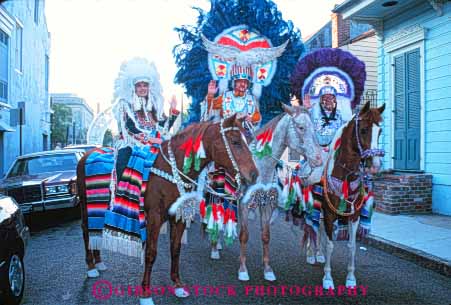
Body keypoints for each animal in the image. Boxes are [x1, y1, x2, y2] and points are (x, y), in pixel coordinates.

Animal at [77, 114, 258, 304]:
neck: (170, 168)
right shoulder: (154, 217)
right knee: (86, 230)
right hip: (86, 205)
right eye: (236, 141)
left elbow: (175, 249)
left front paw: (178, 285)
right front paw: (146, 294)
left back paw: (99, 262)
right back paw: (91, 267)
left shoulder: (177, 217)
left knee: (95, 231)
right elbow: (151, 253)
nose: (254, 175)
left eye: (248, 140)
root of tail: (87, 154)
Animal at [209, 103, 324, 282]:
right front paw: (243, 270)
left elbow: (265, 236)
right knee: (216, 213)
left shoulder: (267, 204)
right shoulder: (244, 203)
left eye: (314, 128)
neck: (261, 166)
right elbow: (244, 235)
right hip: (217, 190)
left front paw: (268, 270)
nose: (318, 159)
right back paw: (215, 248)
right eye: (300, 127)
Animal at [310, 101, 384, 288]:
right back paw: (311, 255)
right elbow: (330, 245)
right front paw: (328, 279)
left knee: (319, 229)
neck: (344, 174)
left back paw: (319, 255)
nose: (375, 165)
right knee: (311, 227)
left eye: (380, 131)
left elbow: (352, 246)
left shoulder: (354, 215)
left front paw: (350, 278)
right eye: (363, 130)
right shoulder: (330, 214)